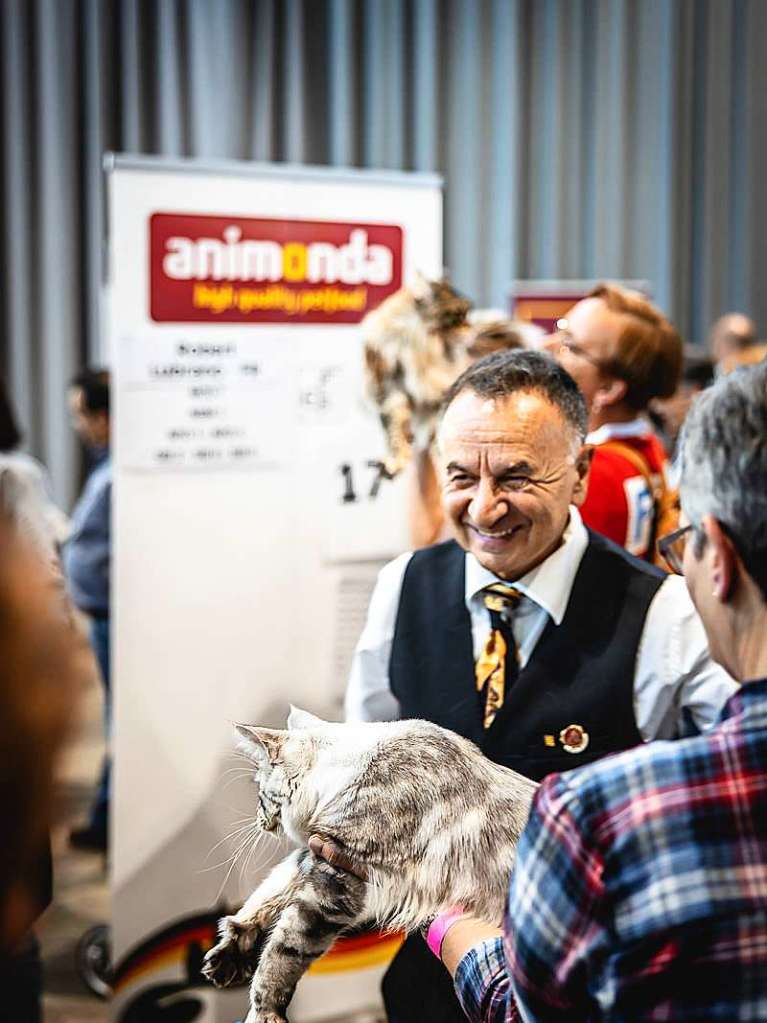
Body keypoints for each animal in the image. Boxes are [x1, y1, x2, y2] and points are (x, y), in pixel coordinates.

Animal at [204, 707, 539, 1023]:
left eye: (260, 792)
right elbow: (269, 891)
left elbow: (281, 955)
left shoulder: (336, 884)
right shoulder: (316, 854)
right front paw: (232, 947)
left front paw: (264, 1010)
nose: (259, 820)